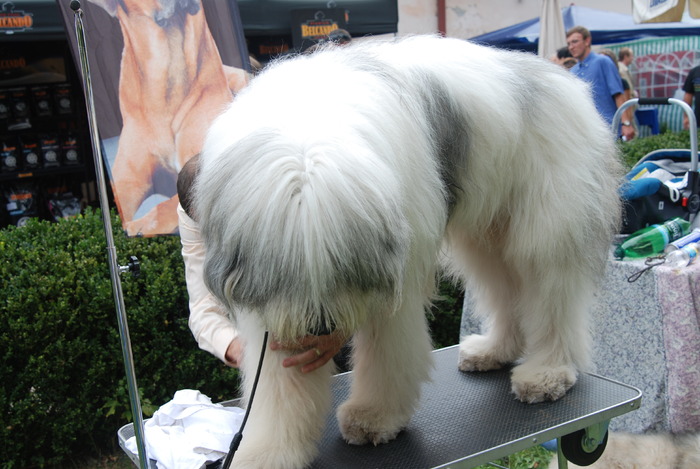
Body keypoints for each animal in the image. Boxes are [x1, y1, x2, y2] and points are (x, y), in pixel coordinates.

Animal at [194, 34, 620, 466]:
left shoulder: (397, 268)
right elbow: (277, 389)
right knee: (505, 291)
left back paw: (546, 374)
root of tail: (566, 81)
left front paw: (373, 417)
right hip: (487, 234)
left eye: (341, 266)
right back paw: (494, 351)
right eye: (283, 273)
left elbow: (388, 352)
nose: (321, 328)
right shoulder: (269, 313)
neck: (306, 124)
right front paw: (267, 451)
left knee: (551, 297)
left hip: (545, 227)